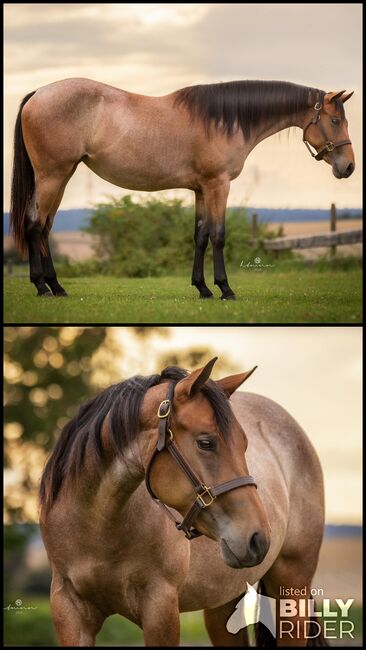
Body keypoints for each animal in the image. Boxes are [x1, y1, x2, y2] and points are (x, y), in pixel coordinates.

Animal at [10, 78, 354, 298]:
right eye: (336, 121)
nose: (348, 167)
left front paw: (202, 288)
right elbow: (218, 235)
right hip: (52, 176)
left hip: (61, 176)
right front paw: (225, 289)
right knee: (35, 224)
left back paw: (56, 286)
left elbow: (200, 235)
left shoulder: (201, 189)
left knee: (44, 227)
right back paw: (41, 287)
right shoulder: (218, 185)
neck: (223, 121)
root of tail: (38, 93)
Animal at [40, 356, 326, 644]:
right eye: (206, 443)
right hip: (222, 604)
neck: (97, 526)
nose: (258, 539)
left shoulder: (161, 609)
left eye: (244, 444)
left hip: (292, 589)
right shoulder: (69, 610)